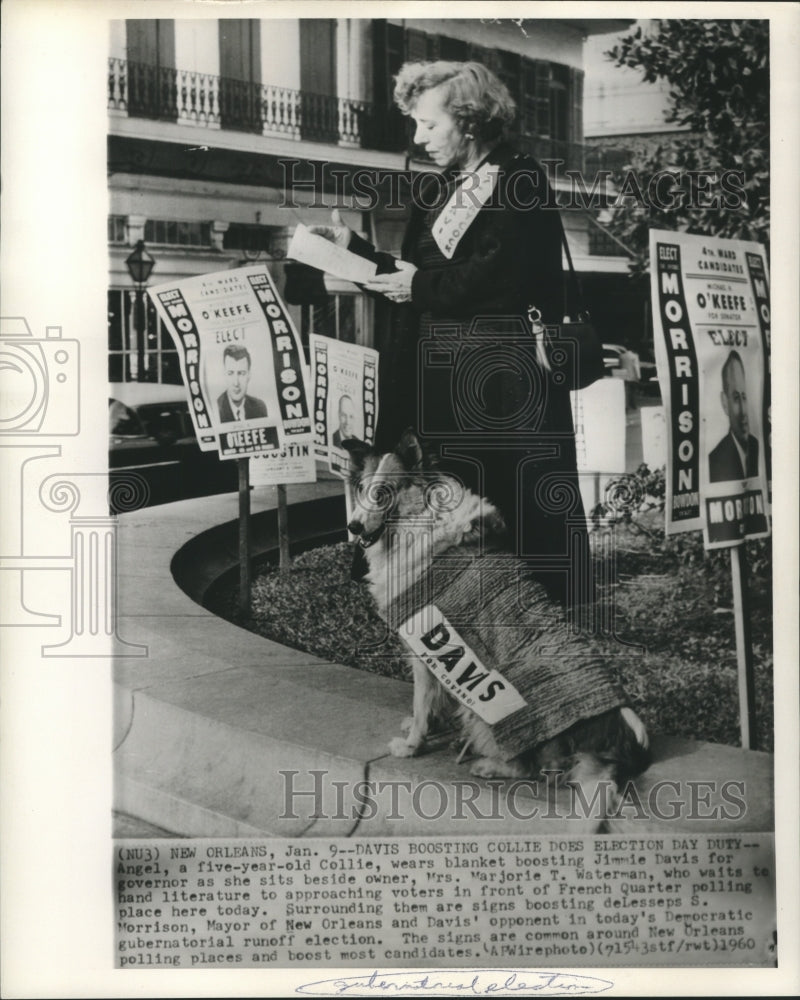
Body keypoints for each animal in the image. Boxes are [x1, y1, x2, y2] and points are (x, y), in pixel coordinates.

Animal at [344, 430, 648, 820]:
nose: (352, 526)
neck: (419, 522)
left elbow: (421, 700)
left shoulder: (424, 644)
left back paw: (488, 765)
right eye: (362, 488)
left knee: (534, 769)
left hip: (500, 717)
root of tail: (622, 739)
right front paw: (422, 726)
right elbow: (430, 702)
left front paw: (412, 744)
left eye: (383, 492)